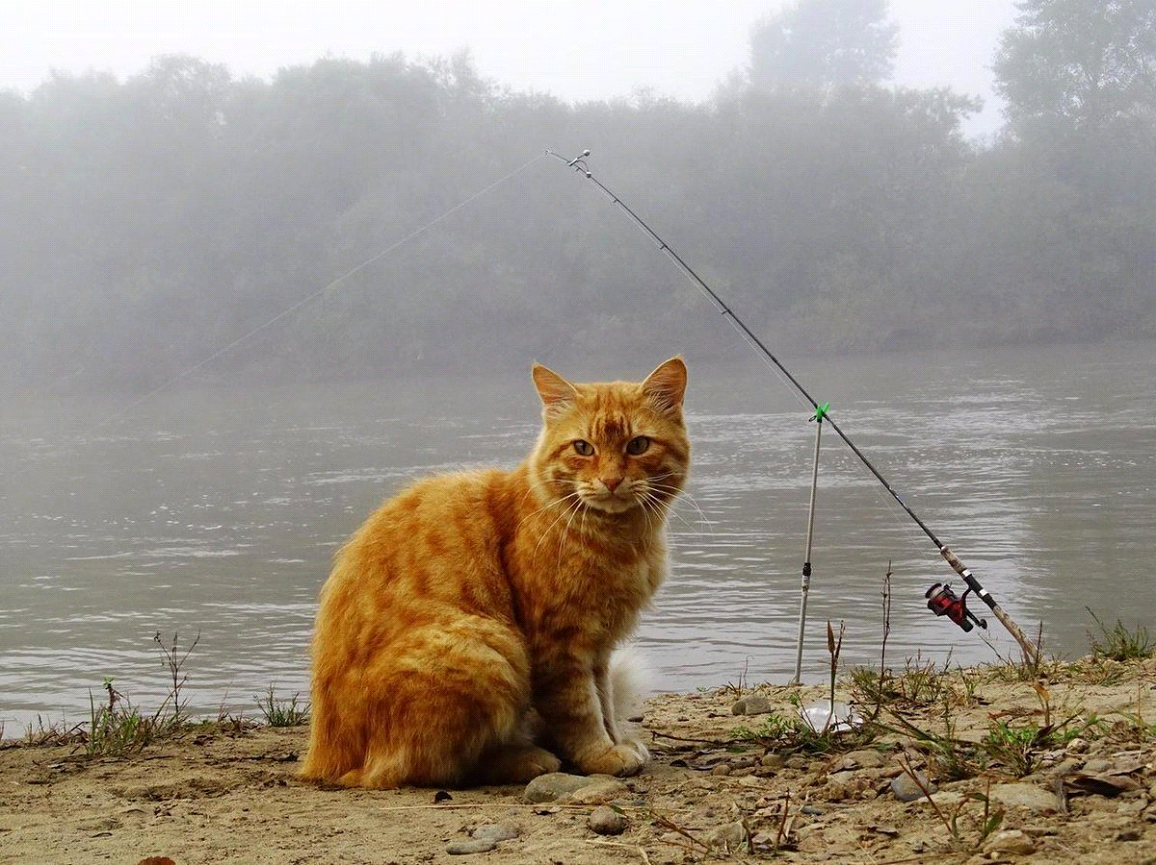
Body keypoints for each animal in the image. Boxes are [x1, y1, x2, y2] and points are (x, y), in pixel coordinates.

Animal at [302, 353, 688, 786]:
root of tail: (321, 759)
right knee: (428, 767)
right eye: (583, 448)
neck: (619, 537)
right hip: (488, 646)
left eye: (637, 445)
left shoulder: (599, 646)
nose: (611, 480)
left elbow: (603, 701)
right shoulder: (559, 644)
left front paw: (616, 740)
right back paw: (526, 759)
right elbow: (582, 710)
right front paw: (600, 754)